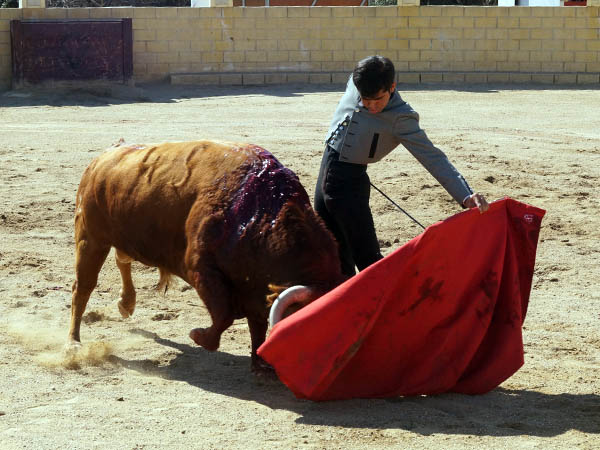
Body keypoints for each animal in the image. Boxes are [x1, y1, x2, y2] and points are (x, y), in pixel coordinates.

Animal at [67, 140, 342, 370]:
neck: (262, 216)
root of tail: (104, 157)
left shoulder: (254, 289)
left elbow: (257, 324)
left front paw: (260, 363)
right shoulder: (202, 269)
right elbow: (225, 315)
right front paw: (199, 336)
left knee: (121, 260)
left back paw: (126, 304)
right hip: (90, 239)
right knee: (82, 288)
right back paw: (74, 343)